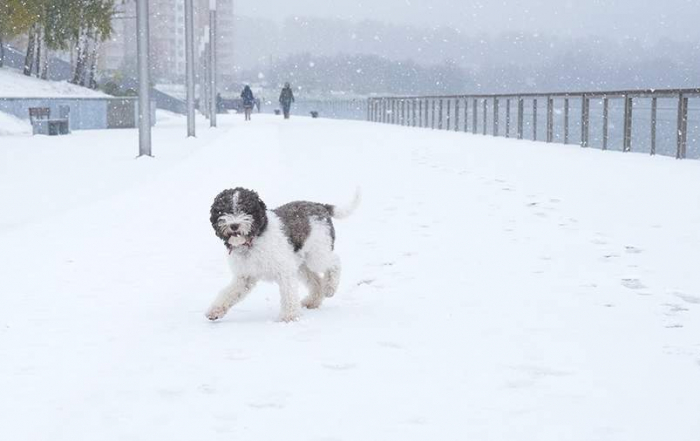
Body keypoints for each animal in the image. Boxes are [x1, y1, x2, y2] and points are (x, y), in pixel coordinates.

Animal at [205, 187, 360, 322]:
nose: (234, 225)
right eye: (223, 211)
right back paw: (312, 301)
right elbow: (228, 293)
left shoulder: (284, 270)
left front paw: (289, 317)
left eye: (245, 209)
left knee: (335, 262)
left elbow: (288, 292)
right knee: (315, 281)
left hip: (317, 254)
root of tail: (320, 206)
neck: (254, 240)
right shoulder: (245, 277)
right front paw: (215, 311)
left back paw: (330, 288)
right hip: (301, 264)